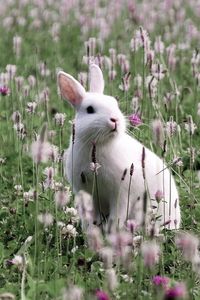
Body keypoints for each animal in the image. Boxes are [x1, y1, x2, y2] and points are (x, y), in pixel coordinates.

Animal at [57, 63, 180, 232]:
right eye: (89, 109)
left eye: (114, 104)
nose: (114, 120)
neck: (101, 144)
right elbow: (90, 219)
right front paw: (91, 234)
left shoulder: (121, 195)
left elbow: (117, 217)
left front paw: (112, 233)